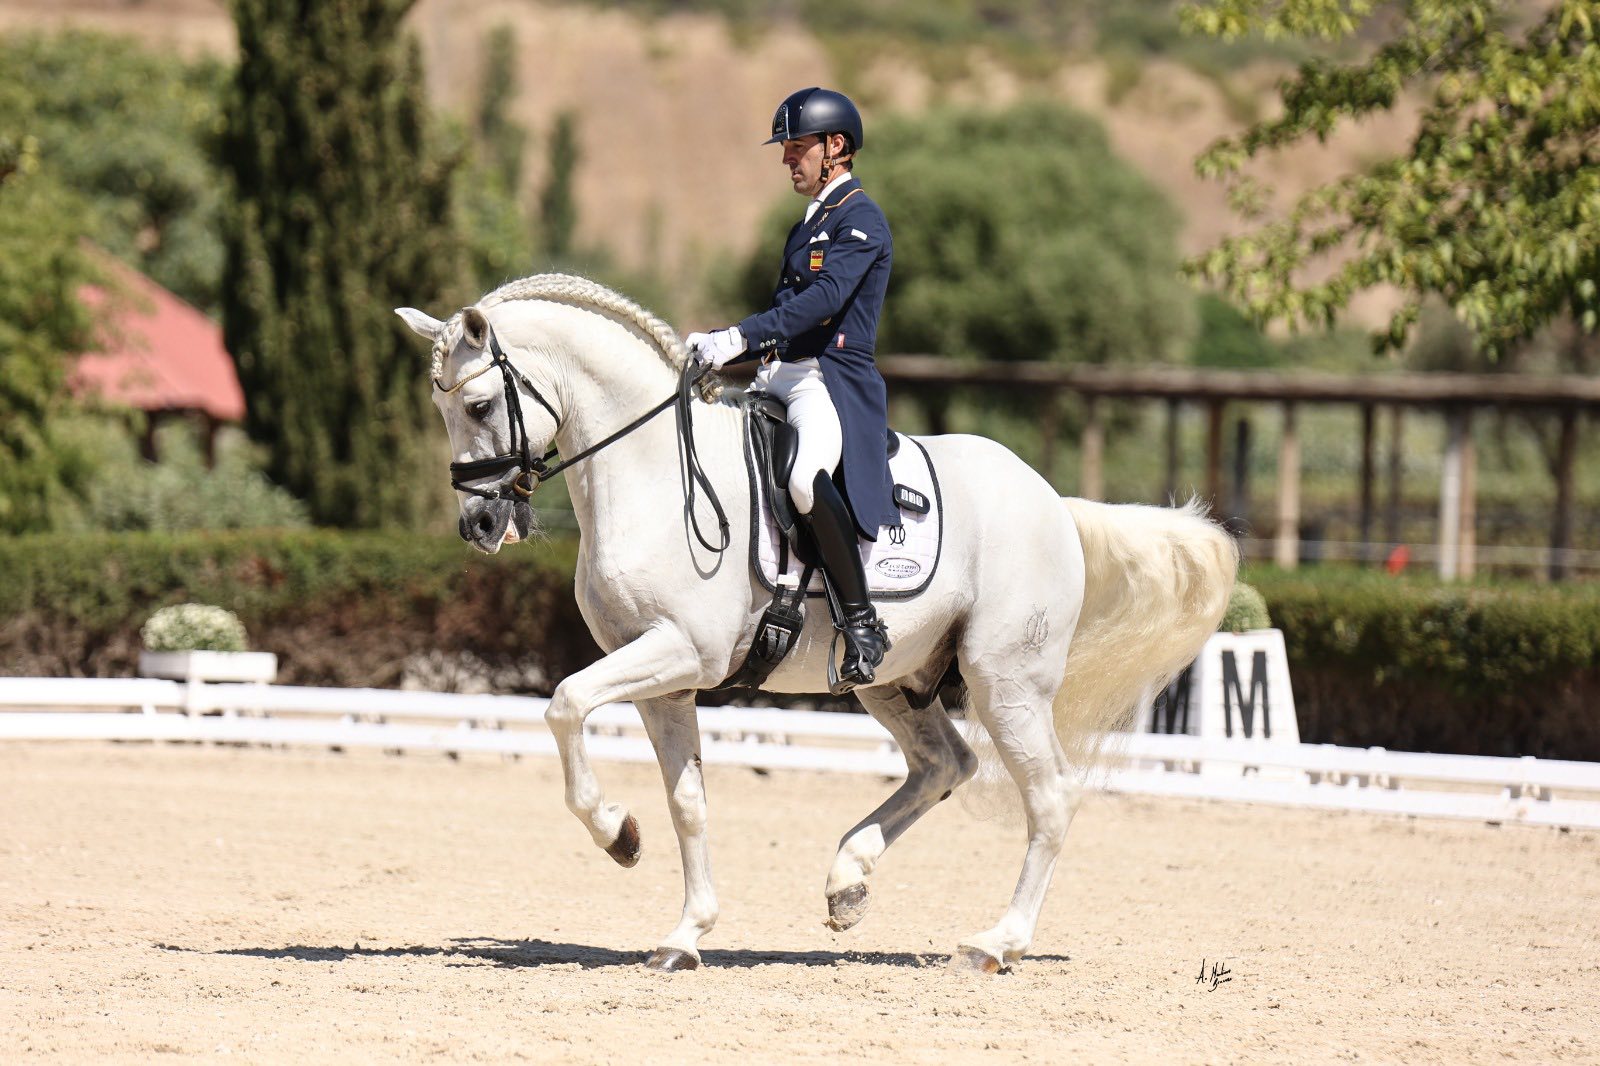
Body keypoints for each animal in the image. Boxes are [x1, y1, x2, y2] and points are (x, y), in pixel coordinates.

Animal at [396, 273, 1237, 973]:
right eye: (440, 410)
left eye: (478, 405)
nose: (480, 525)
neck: (654, 478)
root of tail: (1055, 502)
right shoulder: (664, 682)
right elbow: (687, 802)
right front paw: (683, 935)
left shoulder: (679, 654)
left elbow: (564, 703)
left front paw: (617, 834)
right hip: (892, 681)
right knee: (944, 764)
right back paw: (847, 882)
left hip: (1007, 683)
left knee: (1051, 795)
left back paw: (995, 943)